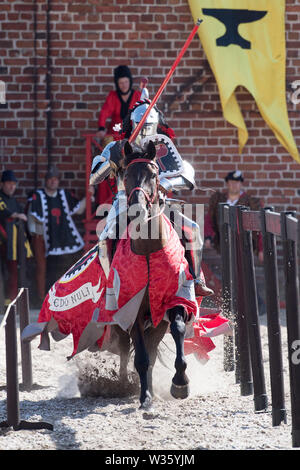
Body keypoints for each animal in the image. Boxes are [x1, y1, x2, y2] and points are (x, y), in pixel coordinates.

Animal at [111, 140, 196, 408]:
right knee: (127, 349)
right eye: (126, 174)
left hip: (157, 323)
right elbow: (140, 356)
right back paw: (123, 384)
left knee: (152, 347)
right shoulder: (133, 312)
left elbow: (178, 329)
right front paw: (144, 397)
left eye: (153, 174)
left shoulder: (174, 302)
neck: (149, 252)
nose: (137, 209)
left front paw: (180, 384)